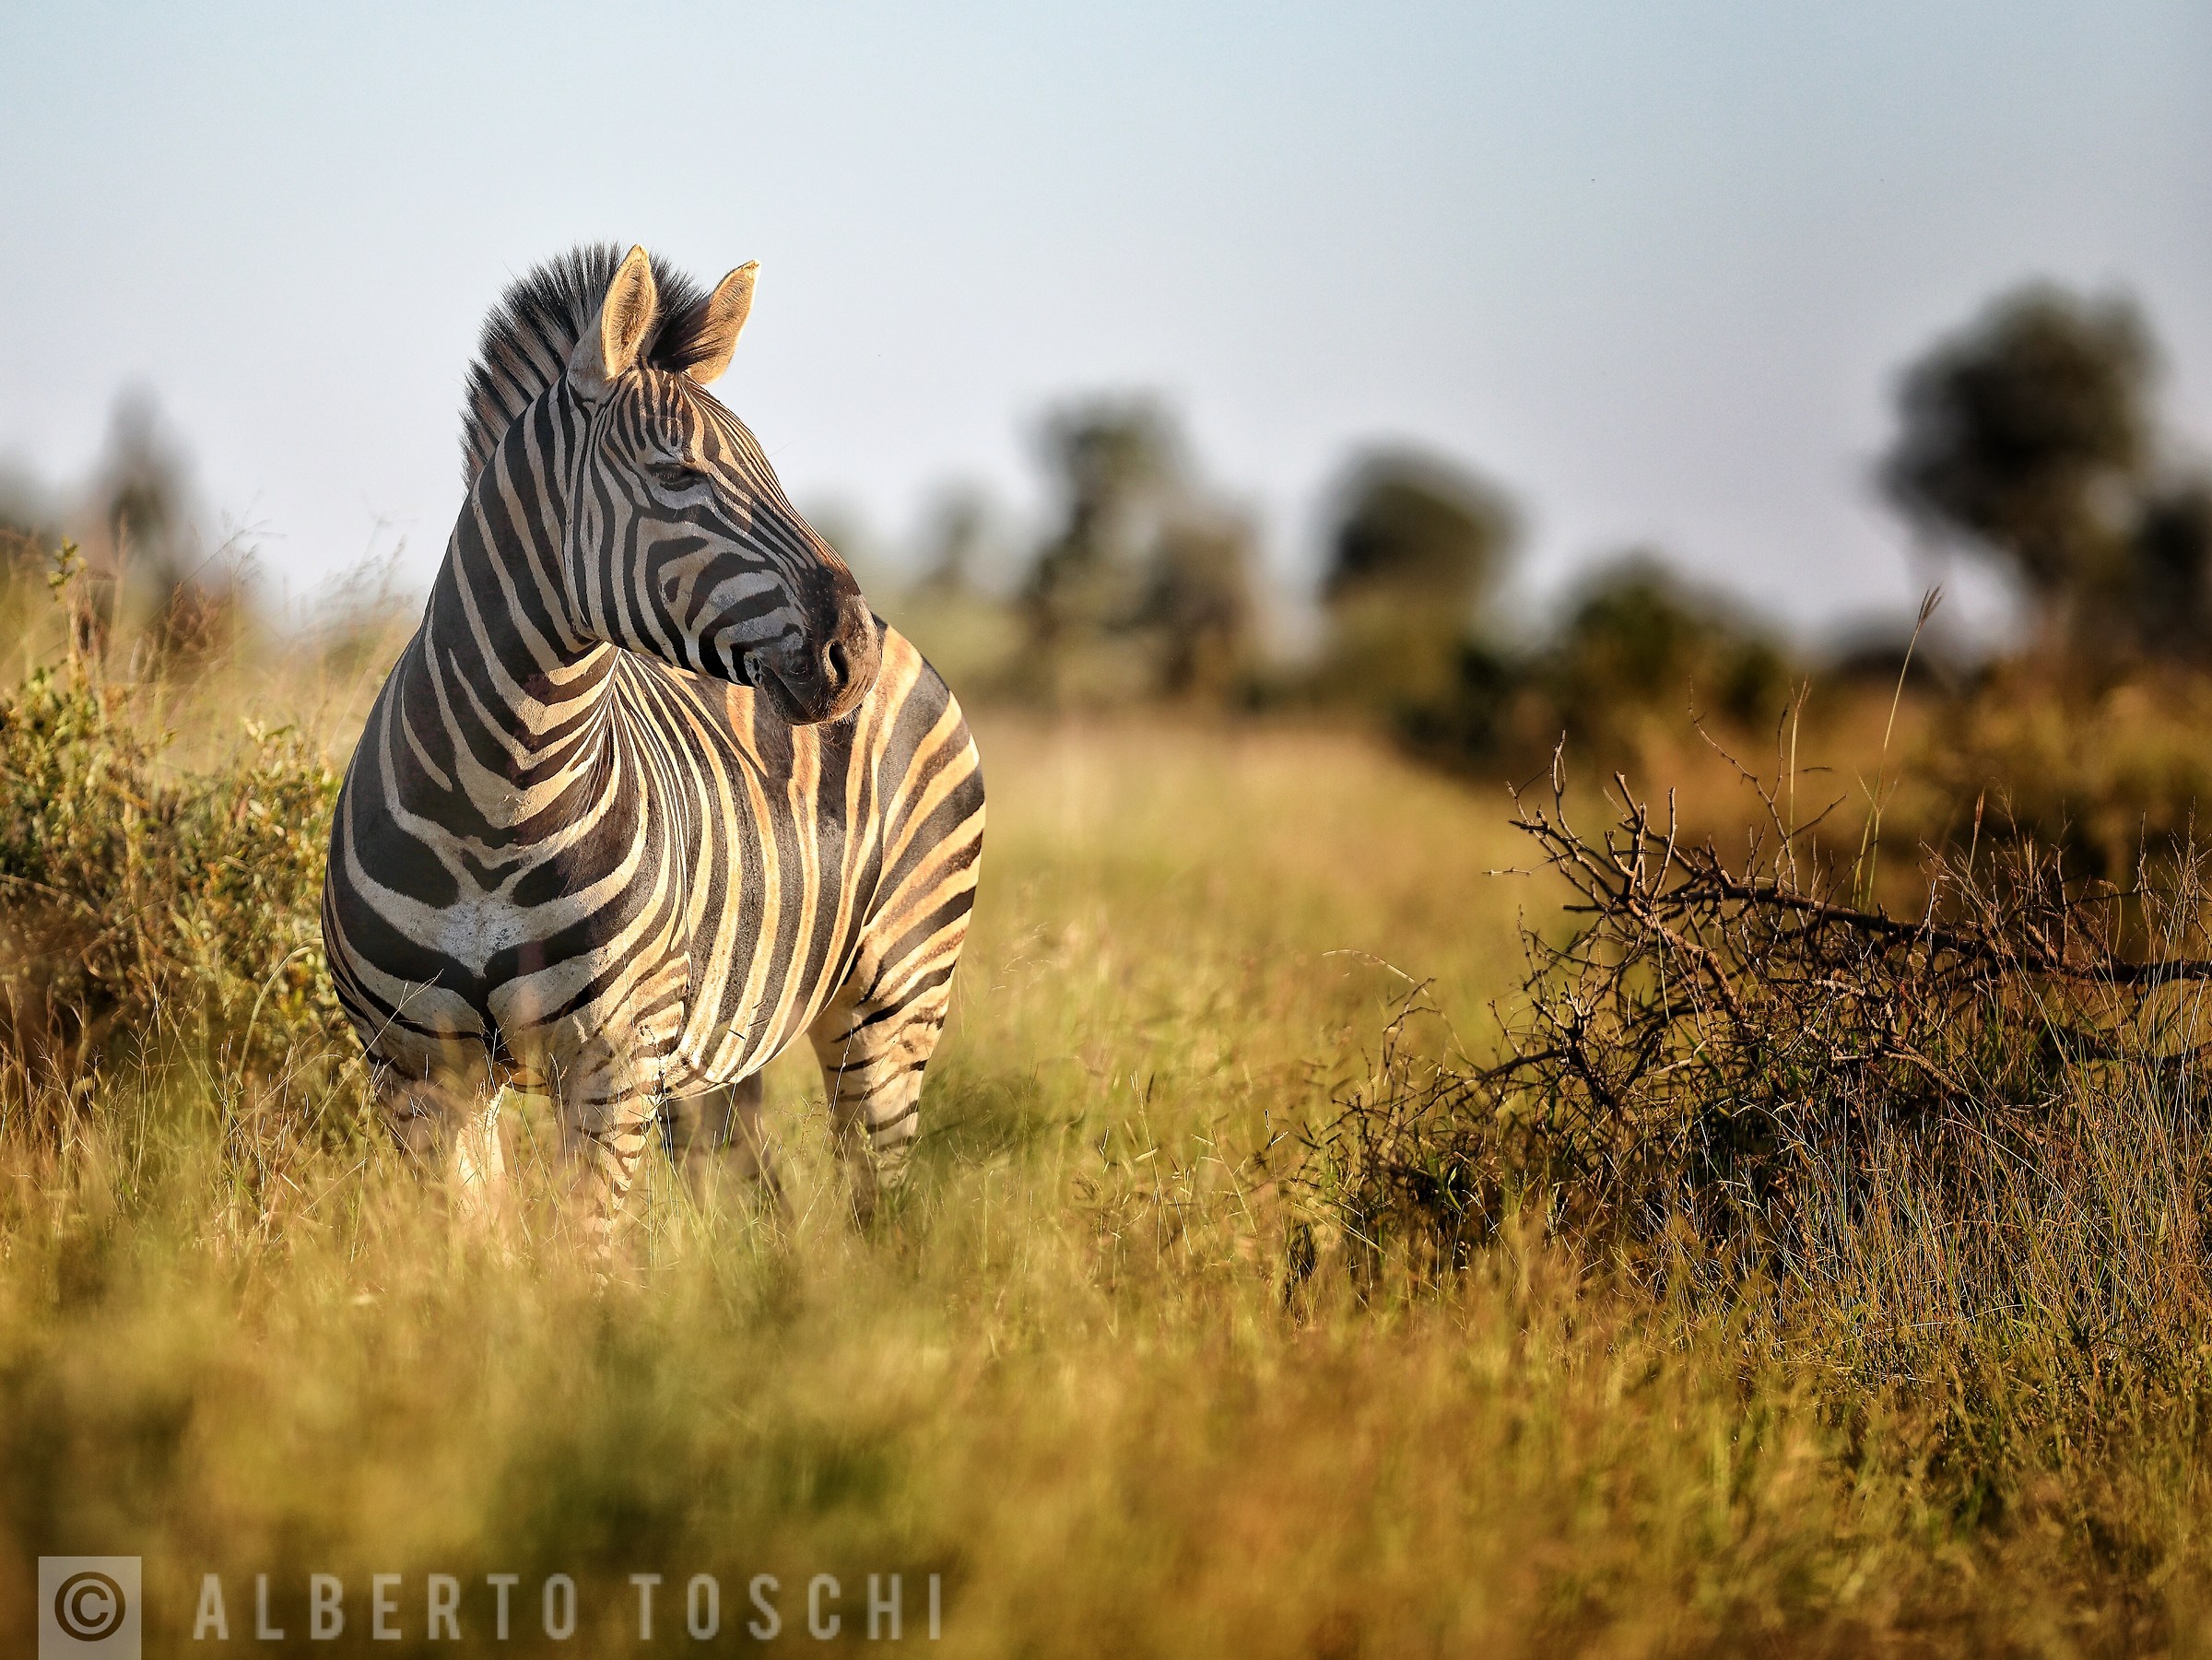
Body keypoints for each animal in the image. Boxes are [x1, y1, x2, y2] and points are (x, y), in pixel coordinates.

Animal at [321, 244, 985, 1242]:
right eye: (678, 477)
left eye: (770, 470)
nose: (852, 650)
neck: (501, 790)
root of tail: (908, 643)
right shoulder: (415, 1069)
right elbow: (478, 1256)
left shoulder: (615, 1058)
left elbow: (583, 1251)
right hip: (729, 1041)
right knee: (754, 1181)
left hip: (894, 995)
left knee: (876, 1192)